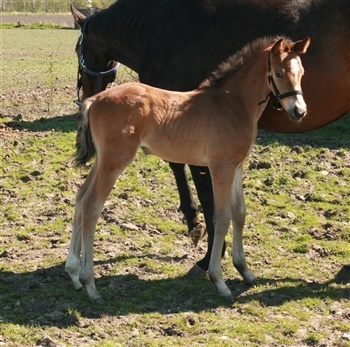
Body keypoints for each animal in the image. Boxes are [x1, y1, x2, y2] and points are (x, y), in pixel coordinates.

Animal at [66, 36, 312, 304]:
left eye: (301, 73)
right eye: (278, 73)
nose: (299, 111)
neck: (232, 104)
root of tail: (94, 100)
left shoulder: (236, 166)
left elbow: (240, 212)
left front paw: (245, 270)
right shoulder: (220, 167)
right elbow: (221, 217)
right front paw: (219, 281)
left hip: (103, 160)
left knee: (80, 197)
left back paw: (74, 274)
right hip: (114, 161)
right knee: (91, 205)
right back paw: (90, 285)